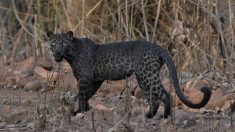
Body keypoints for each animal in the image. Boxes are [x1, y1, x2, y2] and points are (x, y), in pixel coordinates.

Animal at [47, 31, 211, 118]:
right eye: (53, 43)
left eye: (63, 43)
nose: (57, 52)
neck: (71, 54)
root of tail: (158, 47)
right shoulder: (95, 80)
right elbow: (86, 95)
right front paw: (84, 110)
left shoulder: (85, 79)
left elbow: (81, 95)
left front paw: (79, 112)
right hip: (143, 78)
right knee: (153, 99)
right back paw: (148, 116)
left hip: (148, 76)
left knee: (165, 95)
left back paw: (166, 117)